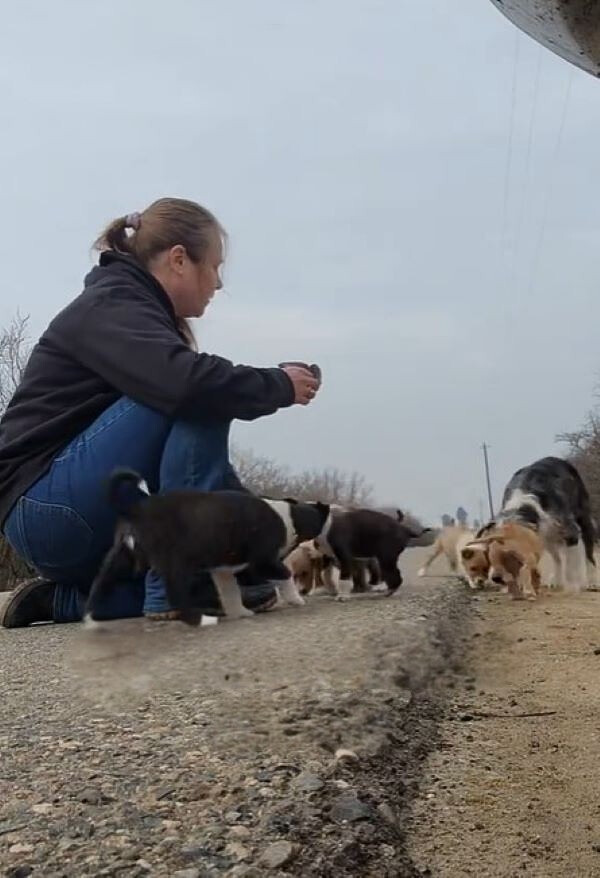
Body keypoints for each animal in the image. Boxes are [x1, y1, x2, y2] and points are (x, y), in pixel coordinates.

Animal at [85, 470, 330, 628]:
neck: (288, 514)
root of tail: (135, 510)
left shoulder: (222, 571)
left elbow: (230, 593)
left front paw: (240, 613)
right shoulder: (264, 562)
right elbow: (285, 575)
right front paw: (297, 599)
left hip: (122, 557)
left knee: (99, 584)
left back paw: (89, 620)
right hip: (177, 565)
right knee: (176, 596)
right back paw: (202, 621)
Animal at [478, 460, 596, 592]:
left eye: (508, 554)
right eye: (490, 553)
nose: (496, 579)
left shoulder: (569, 530)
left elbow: (571, 563)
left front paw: (572, 586)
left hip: (583, 517)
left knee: (589, 552)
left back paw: (592, 582)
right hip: (549, 538)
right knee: (557, 559)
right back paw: (556, 581)